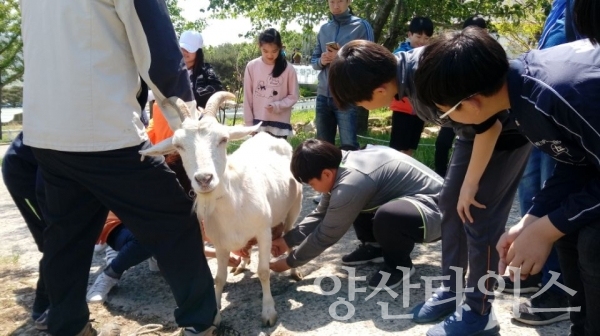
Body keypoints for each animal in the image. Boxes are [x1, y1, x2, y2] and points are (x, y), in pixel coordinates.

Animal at [139, 92, 302, 326]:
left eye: (223, 139)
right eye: (178, 146)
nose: (204, 179)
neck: (233, 202)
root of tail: (268, 137)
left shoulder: (263, 232)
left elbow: (263, 271)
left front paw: (269, 312)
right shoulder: (220, 243)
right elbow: (218, 277)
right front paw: (215, 315)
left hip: (293, 208)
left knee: (289, 235)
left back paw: (295, 272)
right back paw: (242, 264)